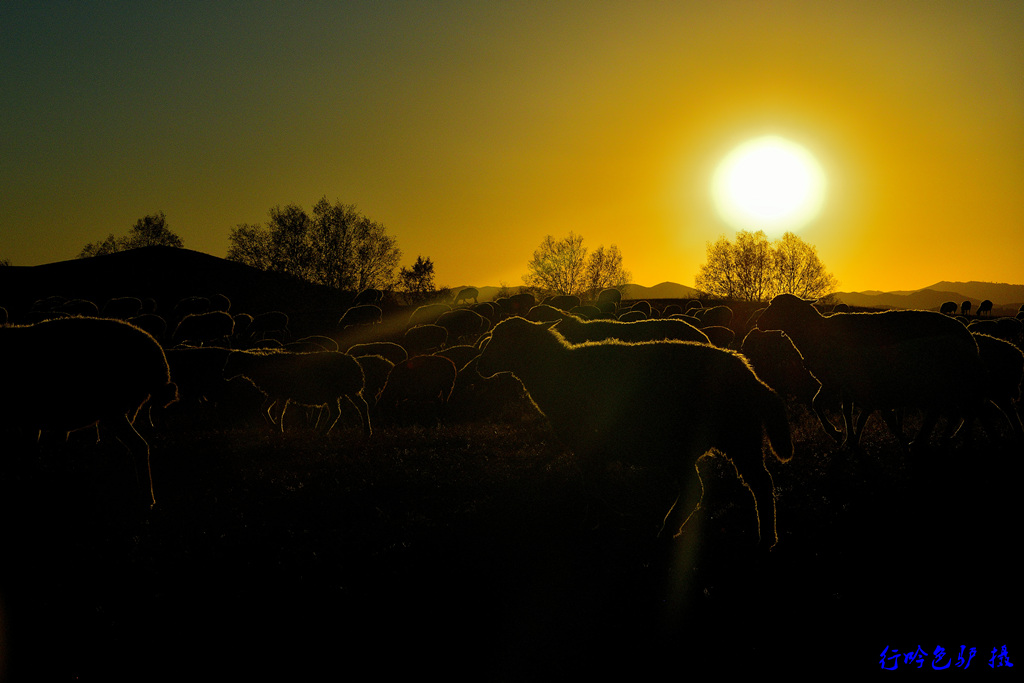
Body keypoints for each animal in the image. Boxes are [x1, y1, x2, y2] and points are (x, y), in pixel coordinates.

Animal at [224, 350, 372, 436]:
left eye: (232, 363)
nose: (224, 374)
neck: (258, 367)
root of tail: (355, 364)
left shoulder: (282, 393)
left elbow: (279, 412)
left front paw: (279, 429)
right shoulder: (275, 392)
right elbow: (264, 408)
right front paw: (274, 427)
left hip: (333, 391)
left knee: (337, 411)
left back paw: (322, 432)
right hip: (347, 392)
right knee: (361, 406)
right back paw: (367, 432)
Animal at [477, 317, 790, 548]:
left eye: (498, 339)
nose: (480, 365)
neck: (555, 371)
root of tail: (751, 375)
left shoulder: (590, 445)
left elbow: (591, 488)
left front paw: (596, 520)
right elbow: (594, 486)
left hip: (736, 435)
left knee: (757, 485)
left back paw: (762, 540)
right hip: (721, 441)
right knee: (725, 486)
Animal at [757, 294, 987, 448]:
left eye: (777, 307)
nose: (759, 323)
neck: (816, 333)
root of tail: (970, 338)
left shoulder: (837, 381)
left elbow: (822, 405)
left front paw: (837, 434)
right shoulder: (837, 382)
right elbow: (836, 408)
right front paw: (847, 437)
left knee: (962, 411)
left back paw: (945, 438)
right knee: (960, 411)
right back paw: (948, 437)